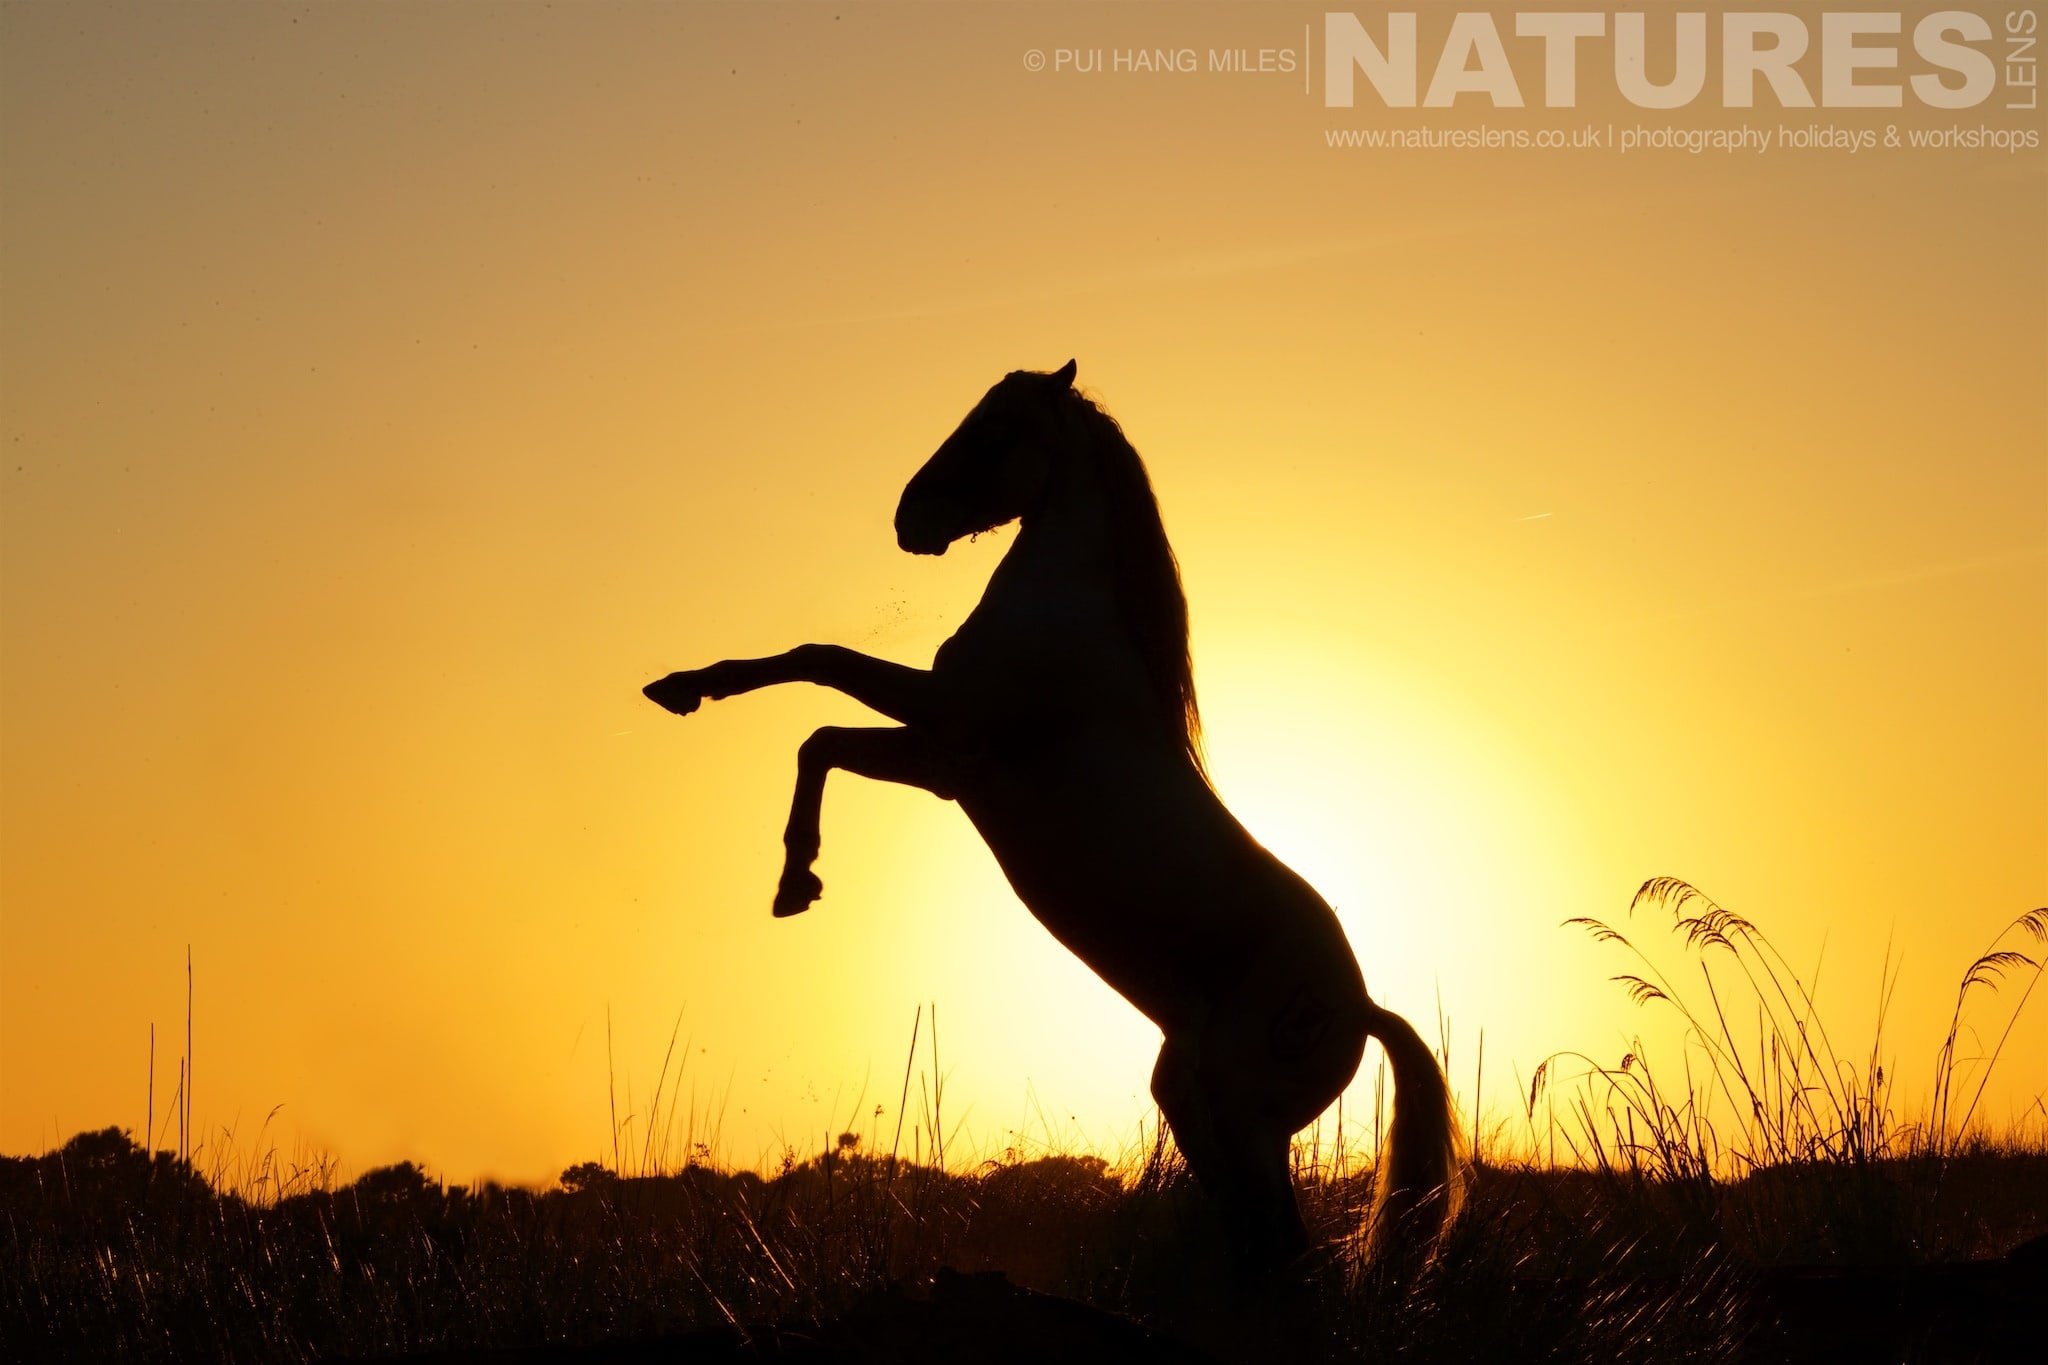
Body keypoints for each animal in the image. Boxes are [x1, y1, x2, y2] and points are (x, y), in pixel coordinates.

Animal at [643, 360, 1462, 1269]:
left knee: (1286, 1255)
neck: (1068, 619)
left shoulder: (946, 739)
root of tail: (1361, 1009)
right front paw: (688, 699)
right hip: (1198, 1108)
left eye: (995, 427)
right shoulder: (940, 748)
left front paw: (793, 874)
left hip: (1243, 1120)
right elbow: (817, 697)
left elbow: (818, 696)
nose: (908, 519)